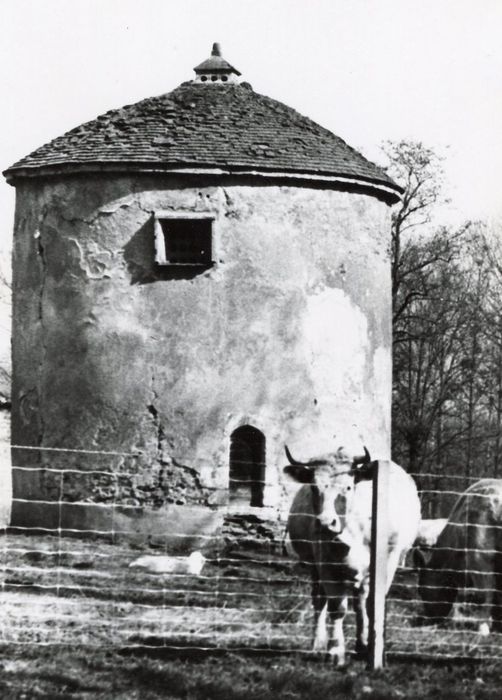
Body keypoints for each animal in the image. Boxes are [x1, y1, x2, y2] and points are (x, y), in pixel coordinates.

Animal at [284, 446, 422, 664]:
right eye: (314, 487)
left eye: (348, 487)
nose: (325, 523)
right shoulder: (325, 564)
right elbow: (337, 607)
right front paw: (335, 650)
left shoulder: (387, 562)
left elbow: (372, 605)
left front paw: (373, 648)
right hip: (315, 567)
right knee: (320, 600)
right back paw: (318, 643)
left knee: (360, 603)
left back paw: (362, 643)